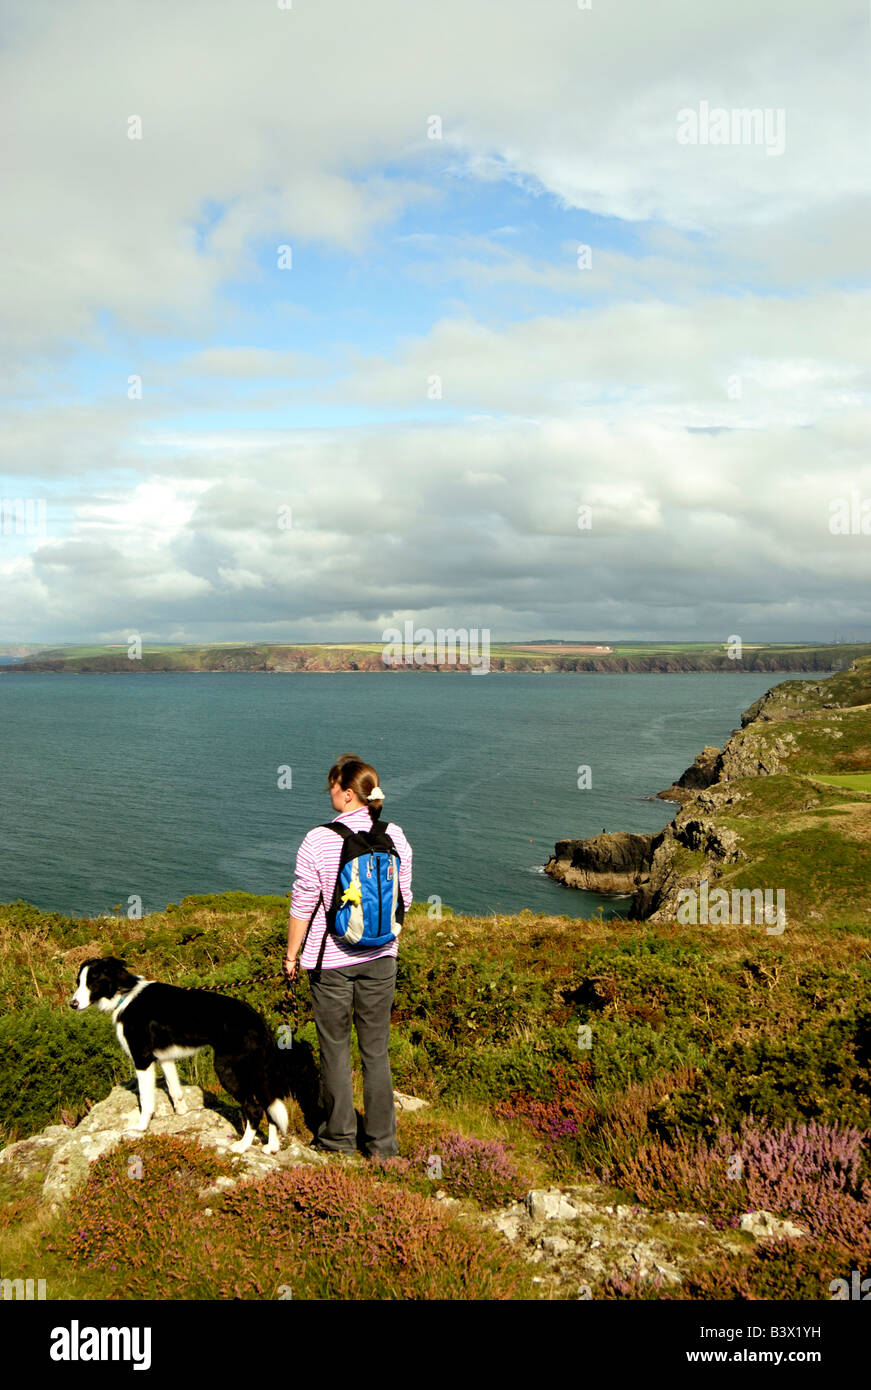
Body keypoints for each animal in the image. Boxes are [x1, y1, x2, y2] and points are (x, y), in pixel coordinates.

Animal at [70, 956, 290, 1150]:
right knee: (270, 1108)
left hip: (228, 1070)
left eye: (92, 981)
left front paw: (140, 1128)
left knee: (255, 1109)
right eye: (78, 982)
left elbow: (146, 1100)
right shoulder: (165, 1058)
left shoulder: (142, 1059)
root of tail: (259, 1021)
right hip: (258, 1074)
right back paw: (271, 1148)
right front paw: (182, 1114)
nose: (72, 1004)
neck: (125, 995)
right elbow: (175, 1090)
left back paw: (242, 1146)